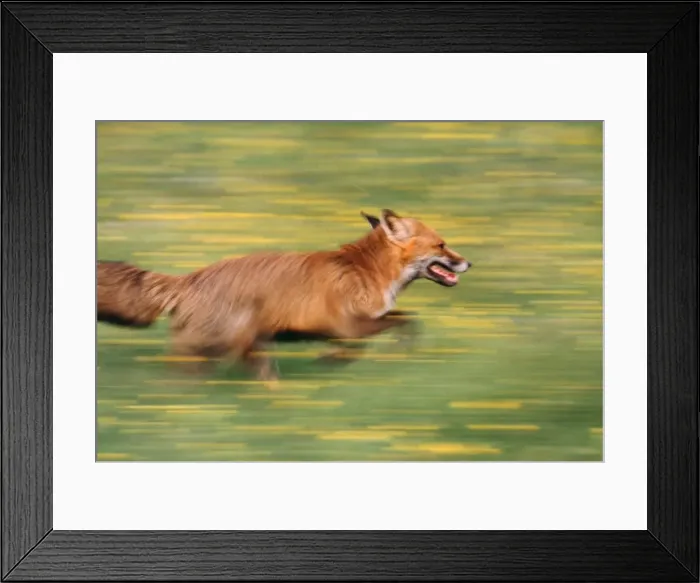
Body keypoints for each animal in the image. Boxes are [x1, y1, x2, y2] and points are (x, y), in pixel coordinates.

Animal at [97, 209, 472, 381]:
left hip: (250, 347)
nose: (469, 262)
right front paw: (332, 361)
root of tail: (191, 277)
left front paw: (330, 361)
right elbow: (398, 324)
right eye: (441, 245)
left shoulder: (345, 329)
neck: (367, 270)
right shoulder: (349, 326)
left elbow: (394, 325)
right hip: (215, 347)